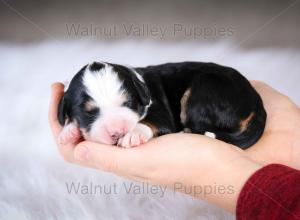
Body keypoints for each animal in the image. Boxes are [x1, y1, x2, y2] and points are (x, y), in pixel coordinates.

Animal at [58, 61, 268, 149]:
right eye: (88, 113)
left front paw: (133, 134)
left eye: (128, 102)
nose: (118, 132)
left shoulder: (160, 111)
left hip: (201, 94)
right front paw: (69, 131)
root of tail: (257, 101)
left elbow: (150, 121)